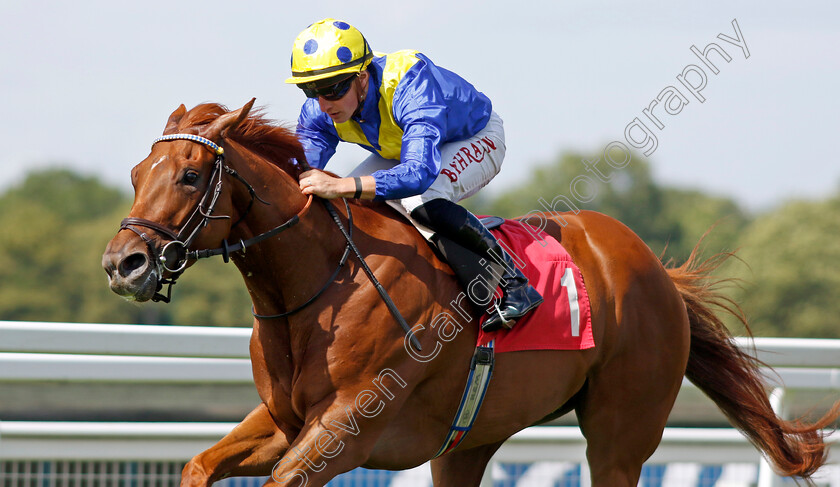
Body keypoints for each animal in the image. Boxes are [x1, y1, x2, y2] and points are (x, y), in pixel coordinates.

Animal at [101, 101, 836, 486]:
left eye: (190, 174)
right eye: (137, 172)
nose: (123, 263)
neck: (320, 284)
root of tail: (654, 270)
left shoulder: (349, 427)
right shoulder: (282, 420)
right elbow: (199, 465)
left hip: (621, 430)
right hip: (468, 441)